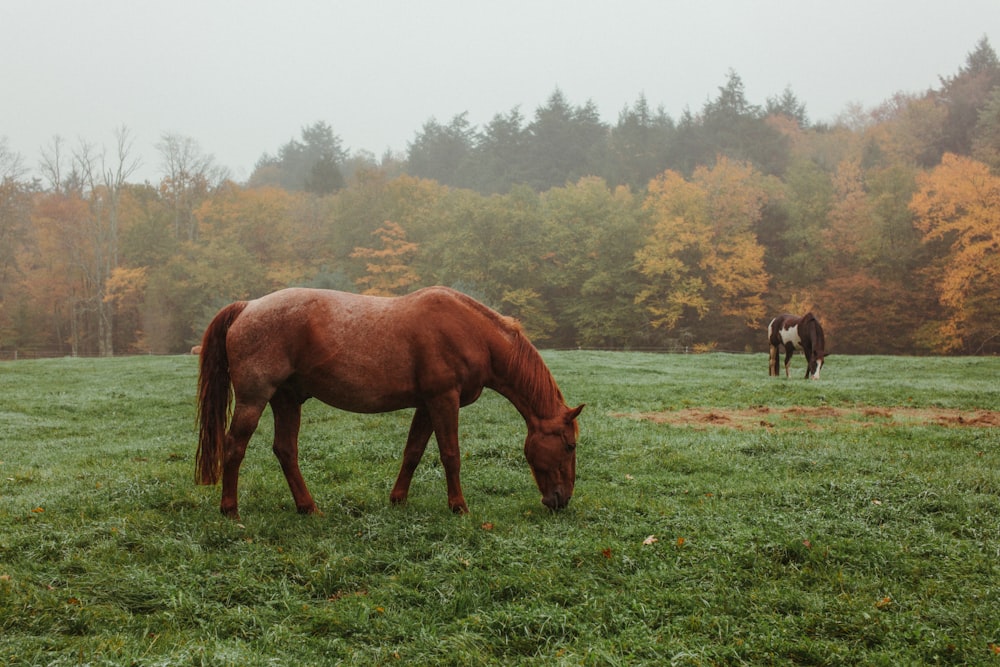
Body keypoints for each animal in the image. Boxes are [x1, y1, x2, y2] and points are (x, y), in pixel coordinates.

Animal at [195, 284, 584, 520]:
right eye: (569, 445)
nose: (561, 500)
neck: (472, 332)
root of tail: (247, 306)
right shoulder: (444, 400)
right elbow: (451, 455)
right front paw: (459, 507)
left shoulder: (427, 404)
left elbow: (413, 452)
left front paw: (398, 499)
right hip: (254, 399)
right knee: (234, 447)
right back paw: (231, 510)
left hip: (287, 400)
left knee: (285, 451)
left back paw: (308, 508)